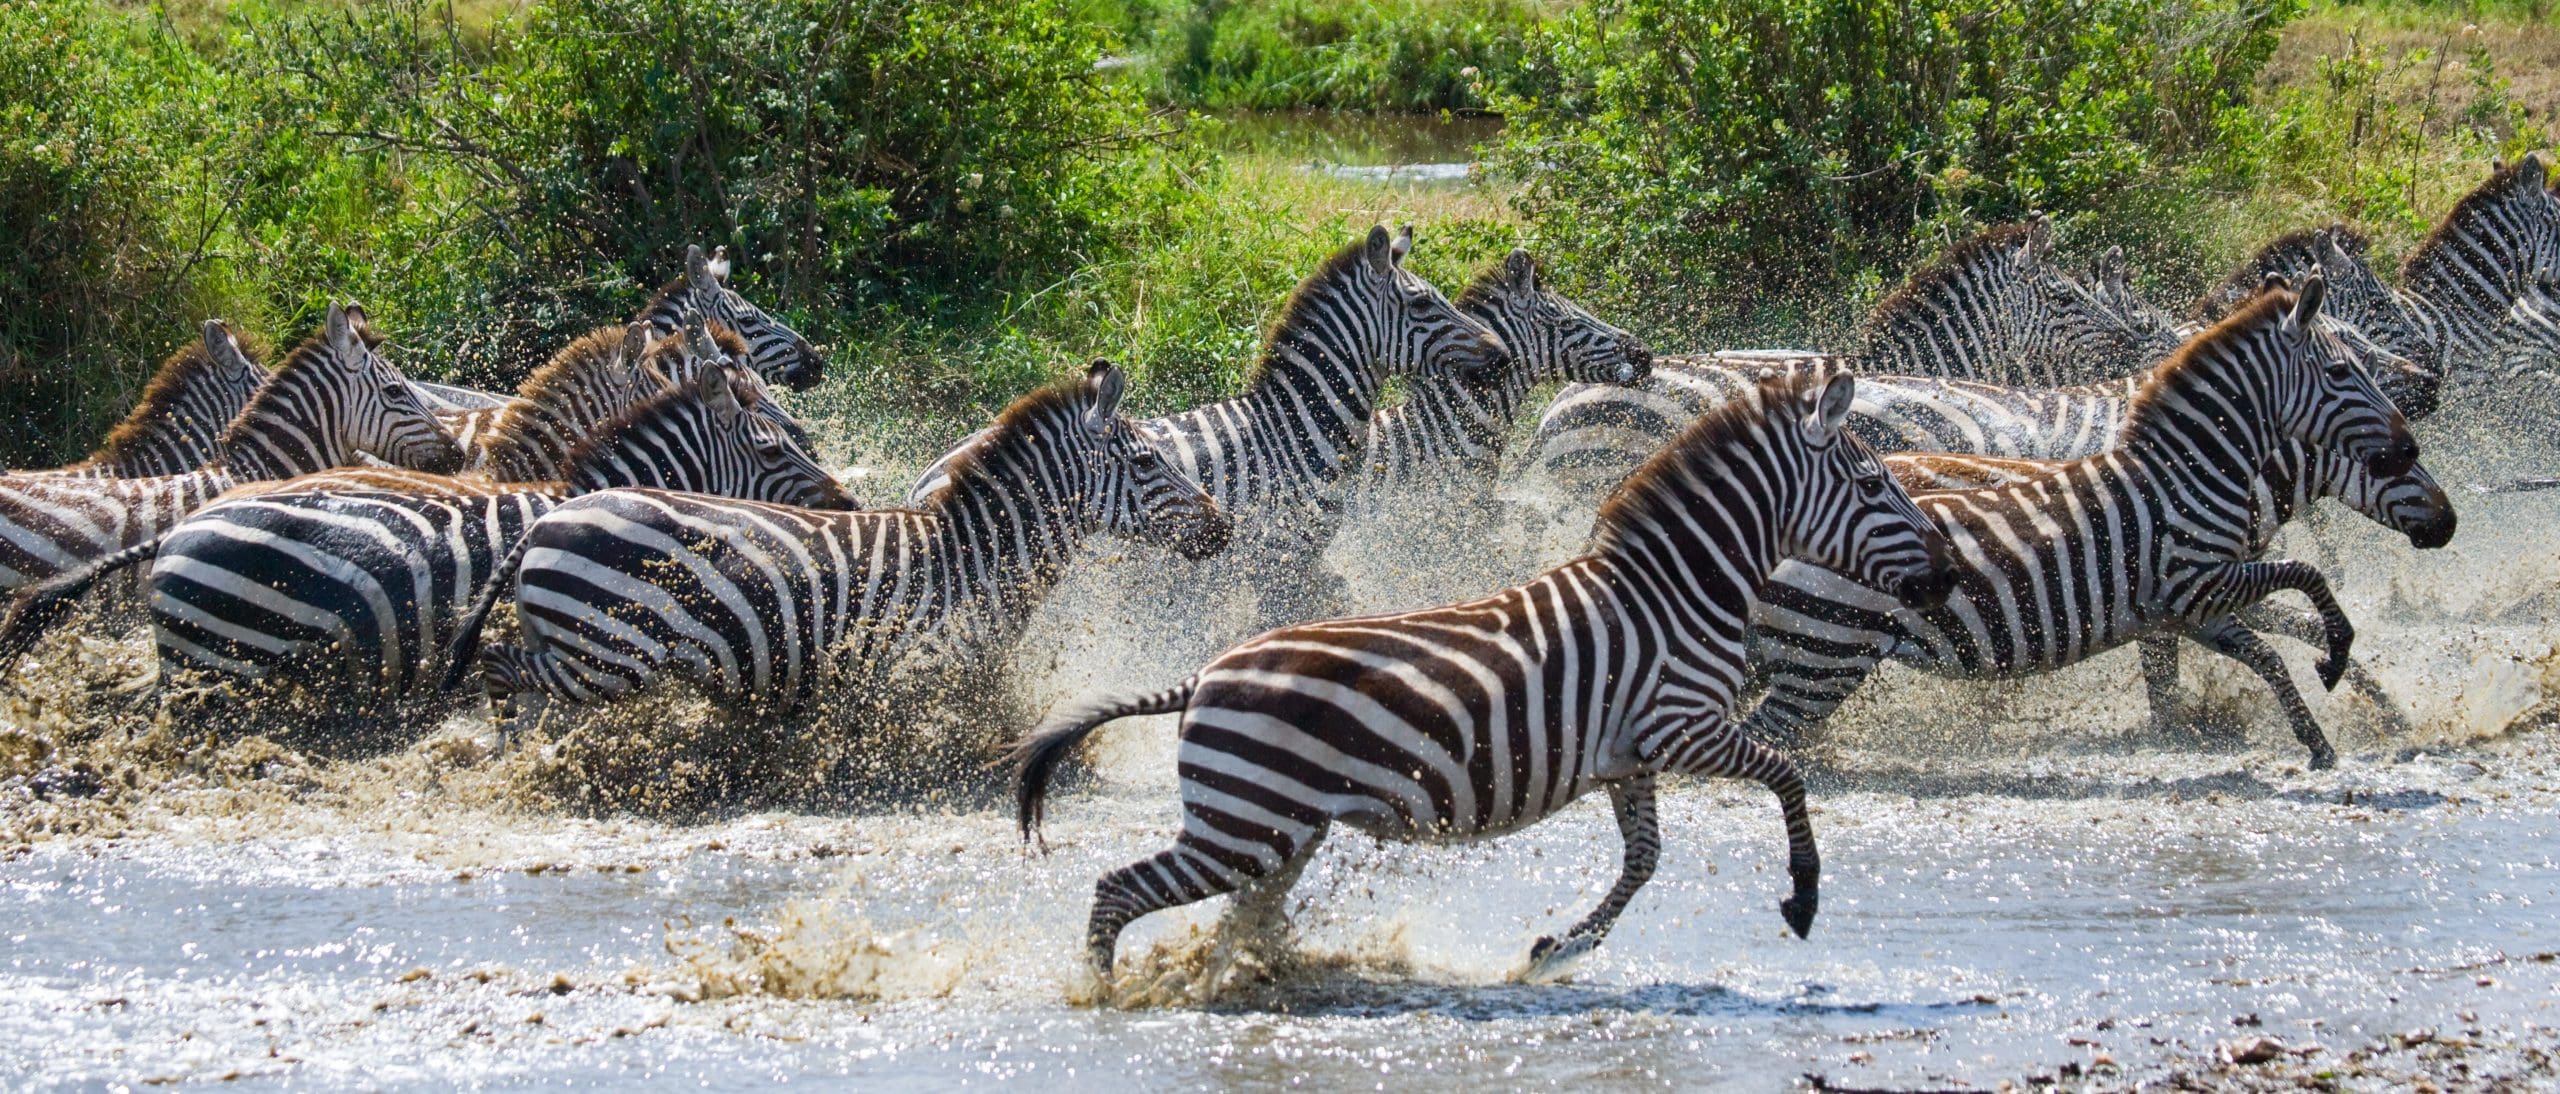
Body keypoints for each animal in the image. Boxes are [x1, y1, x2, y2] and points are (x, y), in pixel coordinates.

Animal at [455, 361, 1233, 717]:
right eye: (1147, 462)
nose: (1222, 526)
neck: (976, 558)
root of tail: (545, 522)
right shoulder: (919, 675)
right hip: (606, 656)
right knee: (498, 664)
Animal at [1008, 371, 1945, 988]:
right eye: (1873, 482)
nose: (1940, 576)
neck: (1677, 592)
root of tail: (1203, 671)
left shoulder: (1631, 755)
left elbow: (1644, 860)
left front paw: (1557, 949)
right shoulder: (1685, 726)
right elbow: (1787, 777)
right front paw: (1804, 900)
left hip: (1278, 829)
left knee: (1230, 914)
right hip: (1241, 826)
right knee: (1117, 889)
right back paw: (1101, 996)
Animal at [1740, 277, 2416, 773]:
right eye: (2347, 367)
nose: (2422, 388)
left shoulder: (2202, 587)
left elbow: (2285, 627)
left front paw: (2379, 704)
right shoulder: (2188, 585)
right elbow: (2187, 664)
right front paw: (2181, 729)